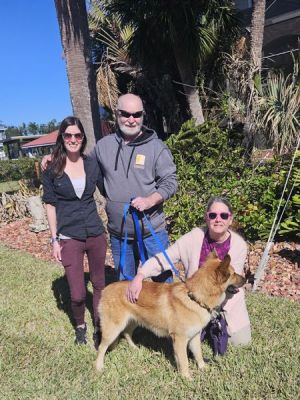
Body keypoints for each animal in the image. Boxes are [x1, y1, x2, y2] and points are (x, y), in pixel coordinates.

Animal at [95, 253, 245, 378]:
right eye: (232, 273)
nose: (245, 279)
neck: (195, 298)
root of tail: (106, 289)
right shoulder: (180, 340)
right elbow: (184, 361)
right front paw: (187, 378)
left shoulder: (194, 337)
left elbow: (198, 355)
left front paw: (203, 368)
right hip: (113, 329)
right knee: (102, 347)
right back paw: (99, 366)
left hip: (133, 321)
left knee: (126, 333)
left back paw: (135, 348)